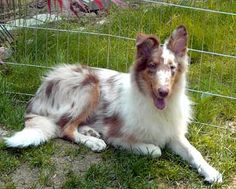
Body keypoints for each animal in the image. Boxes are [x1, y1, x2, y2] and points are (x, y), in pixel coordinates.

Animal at [5, 25, 223, 183]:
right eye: (152, 66)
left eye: (172, 68)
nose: (164, 92)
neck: (153, 105)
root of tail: (41, 88)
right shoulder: (117, 136)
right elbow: (155, 150)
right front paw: (150, 148)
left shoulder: (172, 134)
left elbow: (194, 152)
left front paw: (211, 172)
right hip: (90, 85)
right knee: (65, 129)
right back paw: (93, 141)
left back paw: (90, 132)